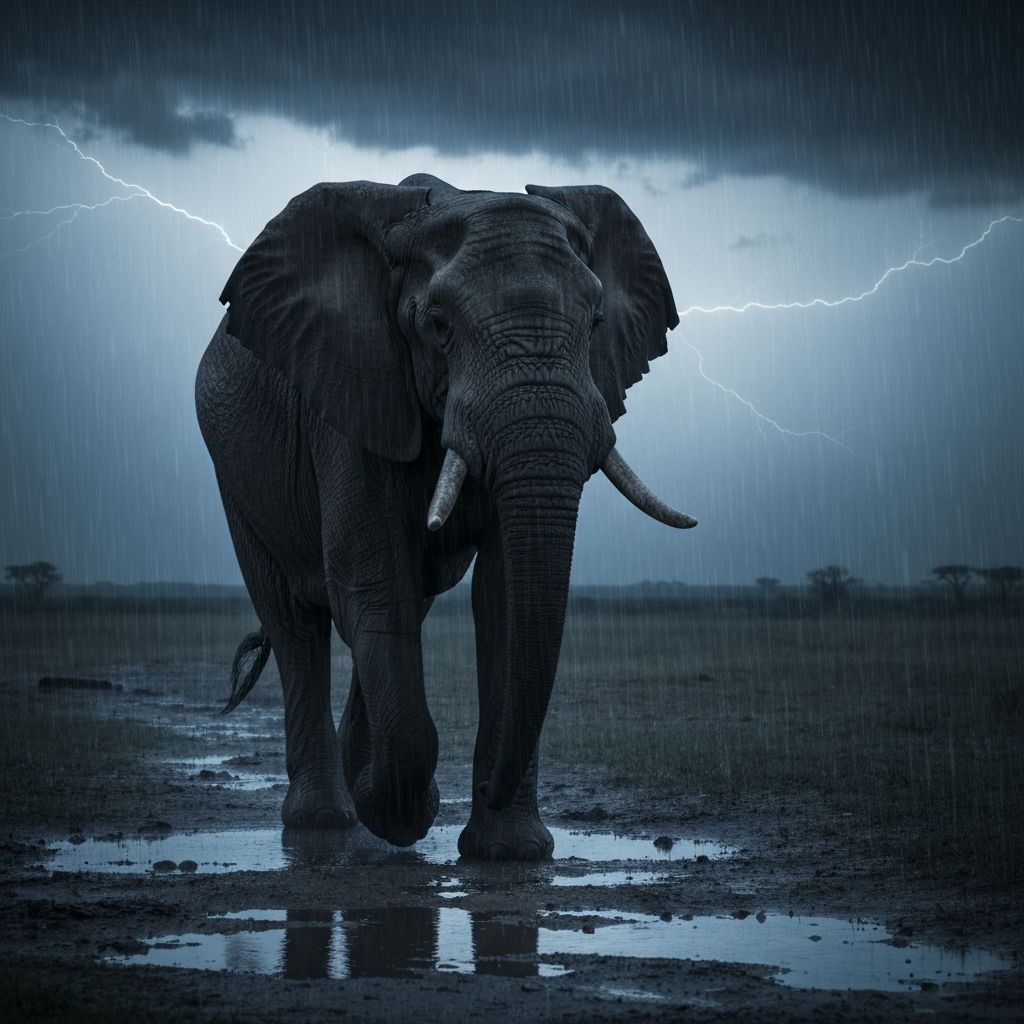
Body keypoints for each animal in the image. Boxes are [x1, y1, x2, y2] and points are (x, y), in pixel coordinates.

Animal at [195, 173, 696, 861]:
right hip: (235, 472)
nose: (487, 790)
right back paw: (328, 818)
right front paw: (404, 813)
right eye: (437, 326)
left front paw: (510, 852)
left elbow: (502, 597)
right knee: (298, 621)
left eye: (596, 322)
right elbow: (373, 580)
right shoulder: (353, 395)